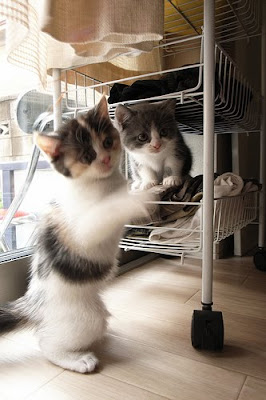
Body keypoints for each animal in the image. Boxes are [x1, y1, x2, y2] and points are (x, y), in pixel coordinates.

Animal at [0, 97, 150, 376]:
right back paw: (77, 359)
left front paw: (141, 186)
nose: (105, 158)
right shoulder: (83, 229)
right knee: (46, 343)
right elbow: (109, 210)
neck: (100, 183)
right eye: (87, 156)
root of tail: (34, 304)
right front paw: (143, 196)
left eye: (107, 142)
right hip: (85, 316)